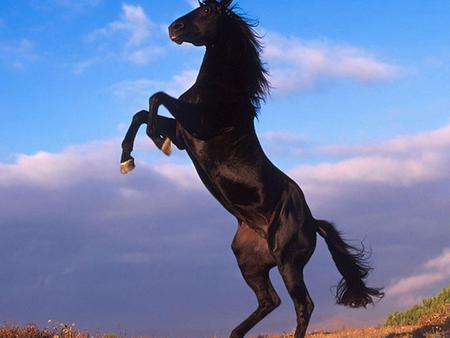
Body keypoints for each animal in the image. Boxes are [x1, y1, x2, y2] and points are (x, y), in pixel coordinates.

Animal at [120, 1, 384, 336]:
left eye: (207, 11)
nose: (172, 29)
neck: (222, 90)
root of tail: (313, 222)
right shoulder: (183, 135)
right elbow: (141, 113)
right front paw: (127, 160)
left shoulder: (197, 125)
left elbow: (156, 98)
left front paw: (156, 140)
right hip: (249, 261)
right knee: (270, 300)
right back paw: (235, 333)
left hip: (287, 262)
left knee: (303, 305)